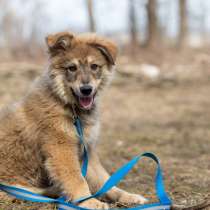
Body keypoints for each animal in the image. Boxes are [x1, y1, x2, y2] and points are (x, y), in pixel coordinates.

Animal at [0, 31, 148, 208]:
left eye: (94, 66)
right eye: (72, 68)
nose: (86, 90)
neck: (71, 109)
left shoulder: (87, 151)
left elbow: (104, 180)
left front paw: (127, 196)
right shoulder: (61, 149)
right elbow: (76, 179)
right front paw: (89, 202)